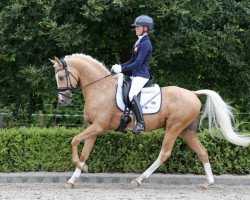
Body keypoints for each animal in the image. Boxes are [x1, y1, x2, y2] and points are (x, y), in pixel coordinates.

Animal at [49, 53, 249, 189]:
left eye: (61, 77)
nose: (62, 100)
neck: (100, 89)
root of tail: (192, 93)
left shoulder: (99, 126)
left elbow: (74, 140)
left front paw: (82, 168)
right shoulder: (93, 128)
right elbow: (84, 152)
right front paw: (74, 177)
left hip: (174, 127)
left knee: (165, 153)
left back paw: (138, 179)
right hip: (187, 131)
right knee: (202, 152)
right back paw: (209, 182)